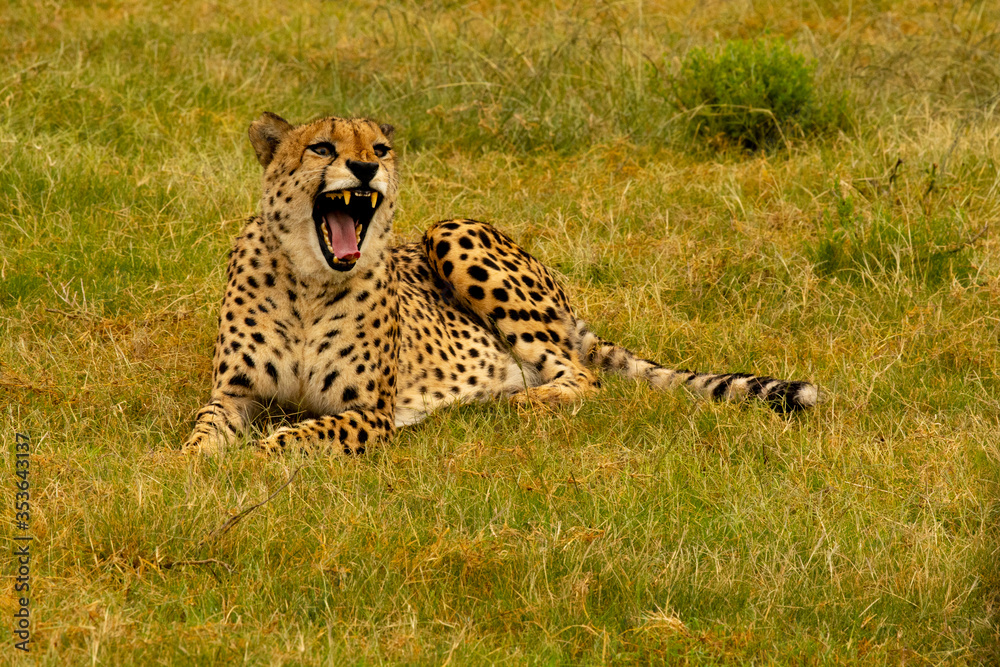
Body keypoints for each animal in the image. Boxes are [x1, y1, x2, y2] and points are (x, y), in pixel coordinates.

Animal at [181, 112, 819, 456]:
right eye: (322, 148)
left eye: (379, 149)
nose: (367, 169)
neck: (309, 282)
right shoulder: (236, 394)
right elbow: (204, 429)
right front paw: (190, 463)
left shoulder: (370, 412)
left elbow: (300, 435)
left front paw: (260, 456)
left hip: (452, 231)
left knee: (579, 377)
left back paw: (513, 403)